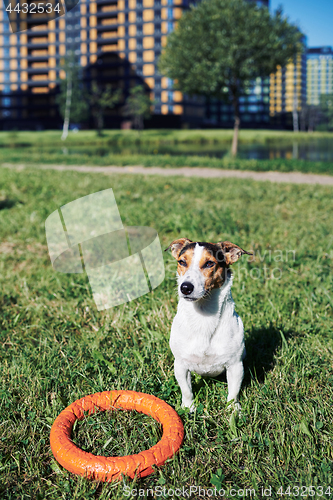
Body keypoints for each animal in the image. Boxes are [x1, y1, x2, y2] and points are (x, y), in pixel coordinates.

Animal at [166, 240, 252, 412]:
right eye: (182, 262)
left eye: (209, 263)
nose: (185, 287)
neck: (203, 314)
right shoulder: (180, 365)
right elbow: (186, 390)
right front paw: (188, 408)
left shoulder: (235, 365)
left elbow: (233, 393)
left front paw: (233, 411)